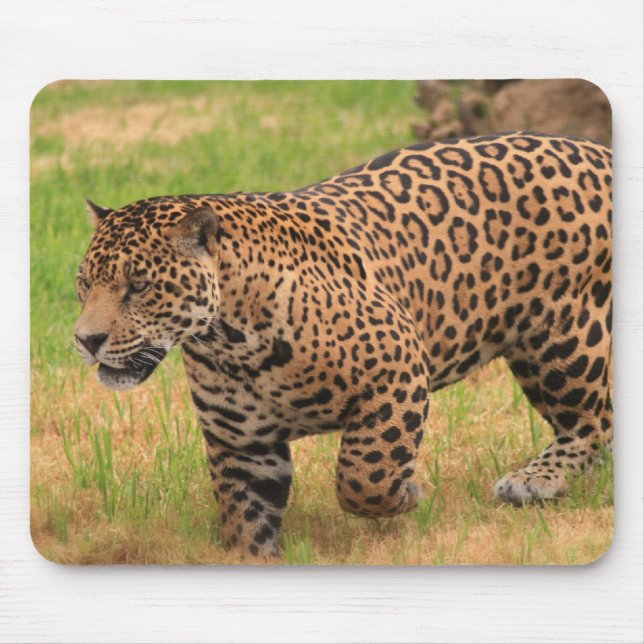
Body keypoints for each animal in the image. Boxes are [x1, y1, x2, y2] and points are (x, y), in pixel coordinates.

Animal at [74, 131, 613, 559]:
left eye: (139, 286)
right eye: (84, 283)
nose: (85, 339)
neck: (230, 341)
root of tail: (599, 150)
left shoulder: (398, 372)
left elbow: (363, 475)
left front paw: (407, 495)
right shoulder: (243, 445)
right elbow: (245, 520)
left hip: (565, 340)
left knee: (593, 424)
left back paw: (534, 482)